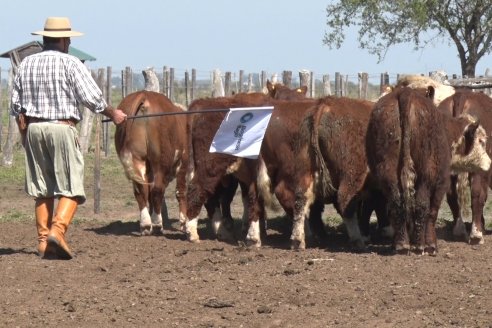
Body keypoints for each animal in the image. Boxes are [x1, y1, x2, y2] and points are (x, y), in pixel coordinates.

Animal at [114, 90, 189, 236]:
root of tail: (144, 95)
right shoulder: (183, 163)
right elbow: (181, 192)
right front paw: (184, 223)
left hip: (137, 160)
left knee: (141, 191)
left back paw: (145, 225)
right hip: (160, 161)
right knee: (157, 190)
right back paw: (157, 224)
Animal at [364, 86, 490, 254]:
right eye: (481, 141)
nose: (489, 162)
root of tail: (405, 94)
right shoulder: (441, 180)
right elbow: (432, 209)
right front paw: (429, 244)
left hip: (388, 171)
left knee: (396, 201)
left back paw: (401, 244)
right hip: (427, 173)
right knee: (424, 203)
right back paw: (424, 244)